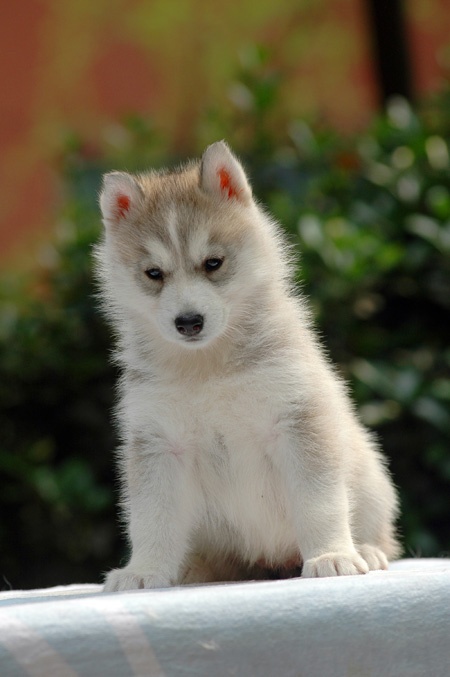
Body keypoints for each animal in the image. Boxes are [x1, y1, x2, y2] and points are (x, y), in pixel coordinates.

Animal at [96, 140, 400, 588]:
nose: (188, 322)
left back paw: (366, 550)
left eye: (213, 263)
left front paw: (331, 556)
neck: (208, 367)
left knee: (383, 536)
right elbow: (152, 517)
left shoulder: (296, 421)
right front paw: (145, 571)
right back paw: (191, 570)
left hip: (373, 478)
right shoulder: (158, 442)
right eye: (154, 274)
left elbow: (319, 502)